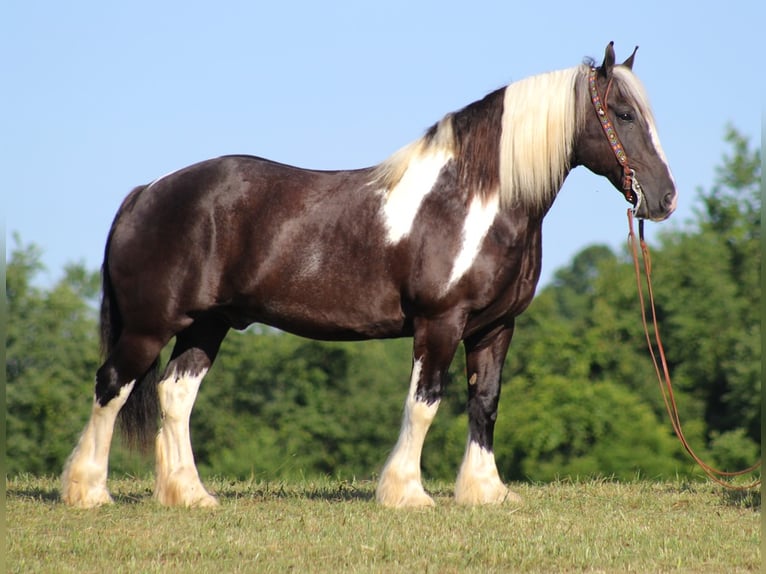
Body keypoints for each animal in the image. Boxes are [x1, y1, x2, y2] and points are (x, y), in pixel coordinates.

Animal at [61, 42, 680, 510]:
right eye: (623, 114)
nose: (665, 198)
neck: (473, 200)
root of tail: (148, 192)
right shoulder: (440, 322)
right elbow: (425, 401)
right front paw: (407, 494)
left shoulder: (495, 327)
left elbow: (485, 402)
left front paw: (484, 492)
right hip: (150, 325)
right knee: (111, 386)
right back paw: (88, 492)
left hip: (206, 324)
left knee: (175, 395)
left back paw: (189, 495)